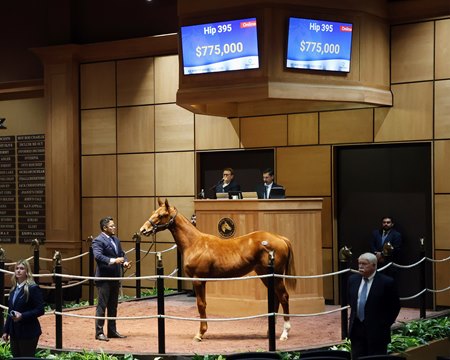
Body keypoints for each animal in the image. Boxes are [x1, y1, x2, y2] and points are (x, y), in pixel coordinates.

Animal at [139, 198, 298, 342]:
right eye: (153, 212)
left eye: (161, 215)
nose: (143, 230)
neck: (194, 243)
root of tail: (280, 238)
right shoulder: (201, 281)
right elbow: (203, 304)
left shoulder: (198, 279)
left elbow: (201, 305)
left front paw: (200, 334)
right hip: (265, 275)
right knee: (276, 297)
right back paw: (270, 331)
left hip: (275, 276)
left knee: (284, 297)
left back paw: (285, 333)